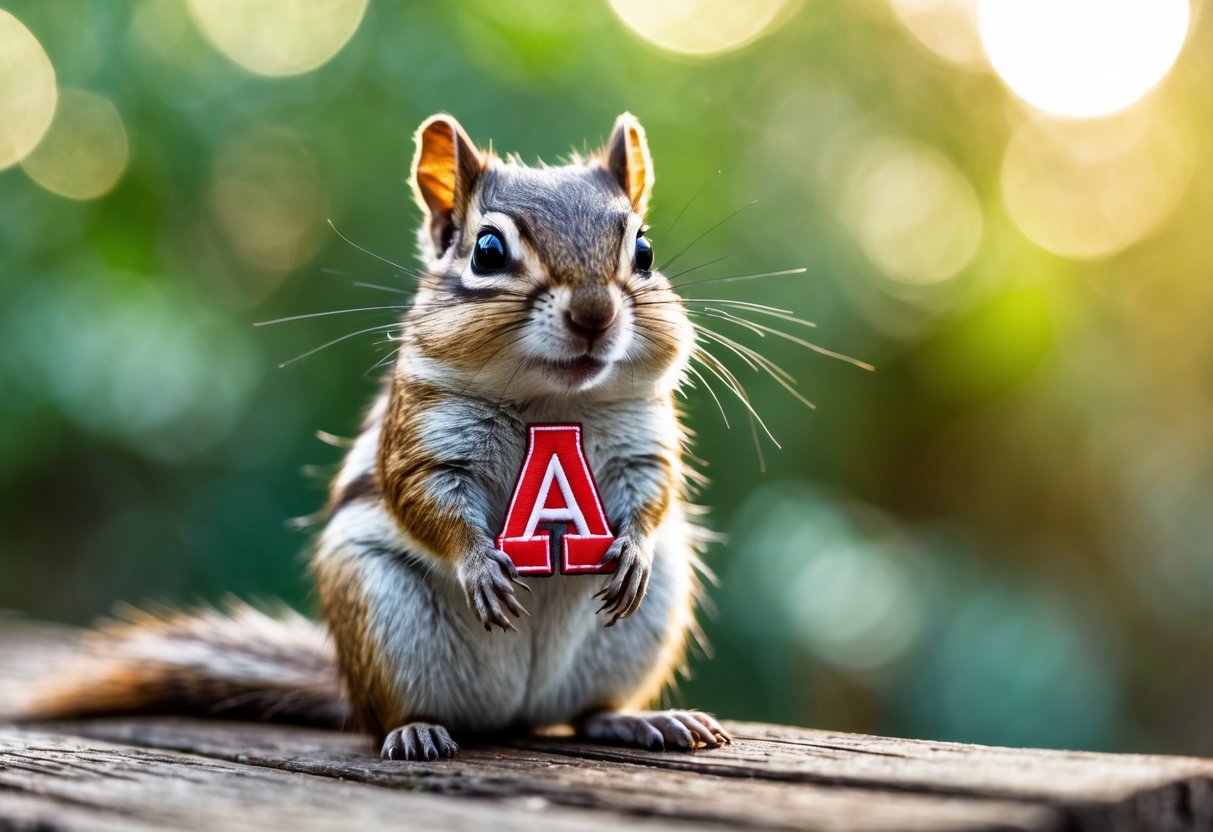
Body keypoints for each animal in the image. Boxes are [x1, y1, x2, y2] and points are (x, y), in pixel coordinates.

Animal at [18, 113, 731, 761]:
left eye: (643, 252)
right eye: (488, 251)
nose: (594, 313)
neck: (553, 400)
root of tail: (513, 712)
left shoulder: (643, 436)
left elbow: (654, 489)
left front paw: (632, 549)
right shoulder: (426, 437)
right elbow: (423, 497)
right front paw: (479, 565)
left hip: (646, 623)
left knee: (586, 712)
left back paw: (642, 721)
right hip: (376, 612)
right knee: (390, 714)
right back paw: (415, 731)